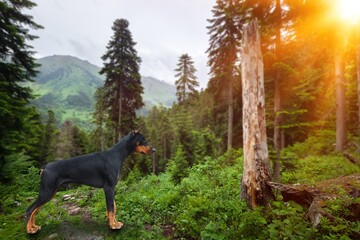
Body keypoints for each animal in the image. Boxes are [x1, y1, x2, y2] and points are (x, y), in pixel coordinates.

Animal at [25, 128, 155, 233]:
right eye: (143, 140)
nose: (154, 149)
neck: (117, 155)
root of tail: (45, 167)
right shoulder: (108, 188)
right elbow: (111, 208)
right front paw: (113, 225)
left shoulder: (111, 188)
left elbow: (113, 206)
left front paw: (114, 222)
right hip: (47, 192)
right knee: (30, 209)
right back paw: (29, 229)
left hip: (50, 193)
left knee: (34, 210)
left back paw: (34, 226)